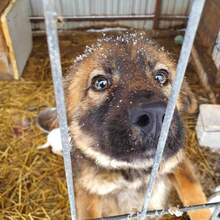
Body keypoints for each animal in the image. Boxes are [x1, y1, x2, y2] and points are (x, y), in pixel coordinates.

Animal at [37, 31, 211, 219]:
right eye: (100, 83)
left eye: (161, 77)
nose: (156, 115)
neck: (134, 173)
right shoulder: (89, 193)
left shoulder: (178, 163)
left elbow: (195, 197)